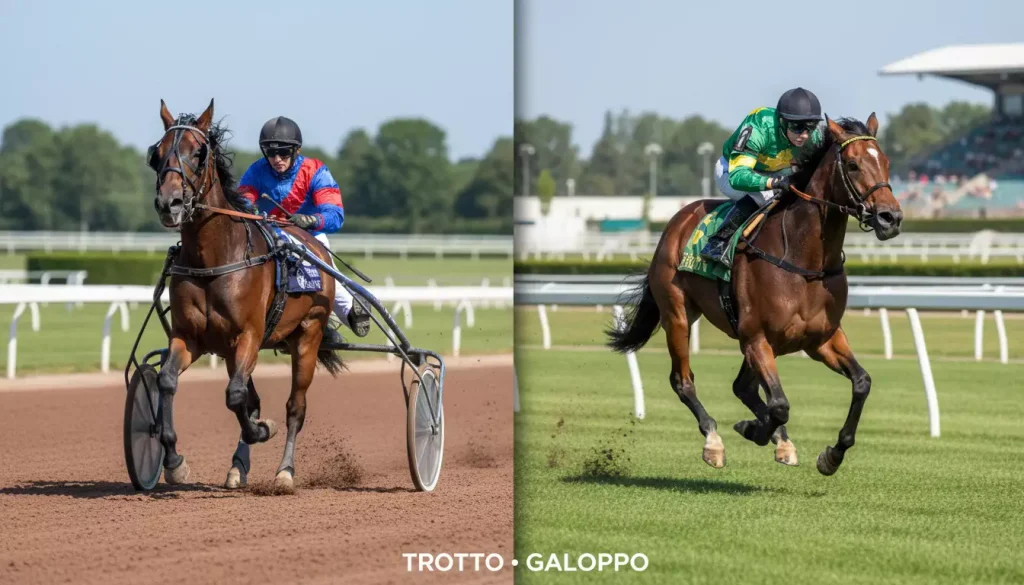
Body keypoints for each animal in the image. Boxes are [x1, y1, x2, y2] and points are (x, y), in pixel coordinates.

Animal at [148, 98, 344, 492]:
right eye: (156, 154)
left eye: (199, 153)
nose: (169, 203)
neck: (214, 259)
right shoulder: (190, 337)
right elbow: (168, 381)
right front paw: (175, 462)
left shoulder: (250, 335)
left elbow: (237, 397)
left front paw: (262, 430)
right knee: (249, 396)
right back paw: (238, 466)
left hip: (308, 335)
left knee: (295, 407)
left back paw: (285, 471)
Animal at [607, 114, 903, 476]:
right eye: (853, 164)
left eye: (886, 162)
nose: (891, 217)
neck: (804, 262)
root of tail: (676, 221)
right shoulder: (757, 337)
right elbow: (779, 404)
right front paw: (754, 430)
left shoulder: (821, 339)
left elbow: (861, 383)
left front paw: (831, 455)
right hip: (678, 315)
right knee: (683, 380)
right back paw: (714, 440)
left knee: (742, 387)